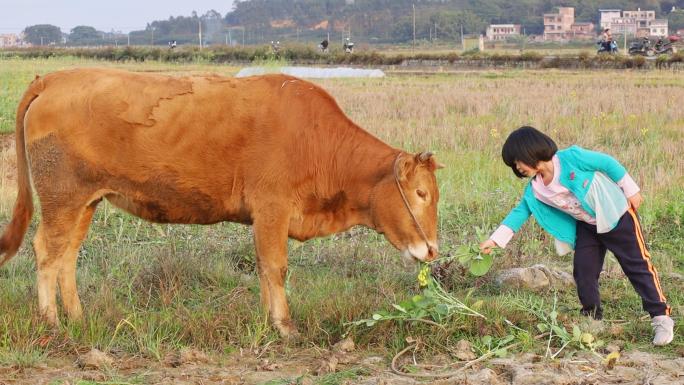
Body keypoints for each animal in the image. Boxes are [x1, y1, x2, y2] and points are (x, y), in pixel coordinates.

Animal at [1, 69, 444, 336]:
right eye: (420, 194)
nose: (432, 250)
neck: (316, 142)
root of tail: (55, 78)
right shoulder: (272, 209)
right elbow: (276, 267)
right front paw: (285, 325)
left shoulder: (266, 218)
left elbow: (265, 269)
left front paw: (268, 318)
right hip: (62, 199)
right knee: (47, 251)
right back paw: (51, 321)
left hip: (84, 203)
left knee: (67, 255)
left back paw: (77, 316)